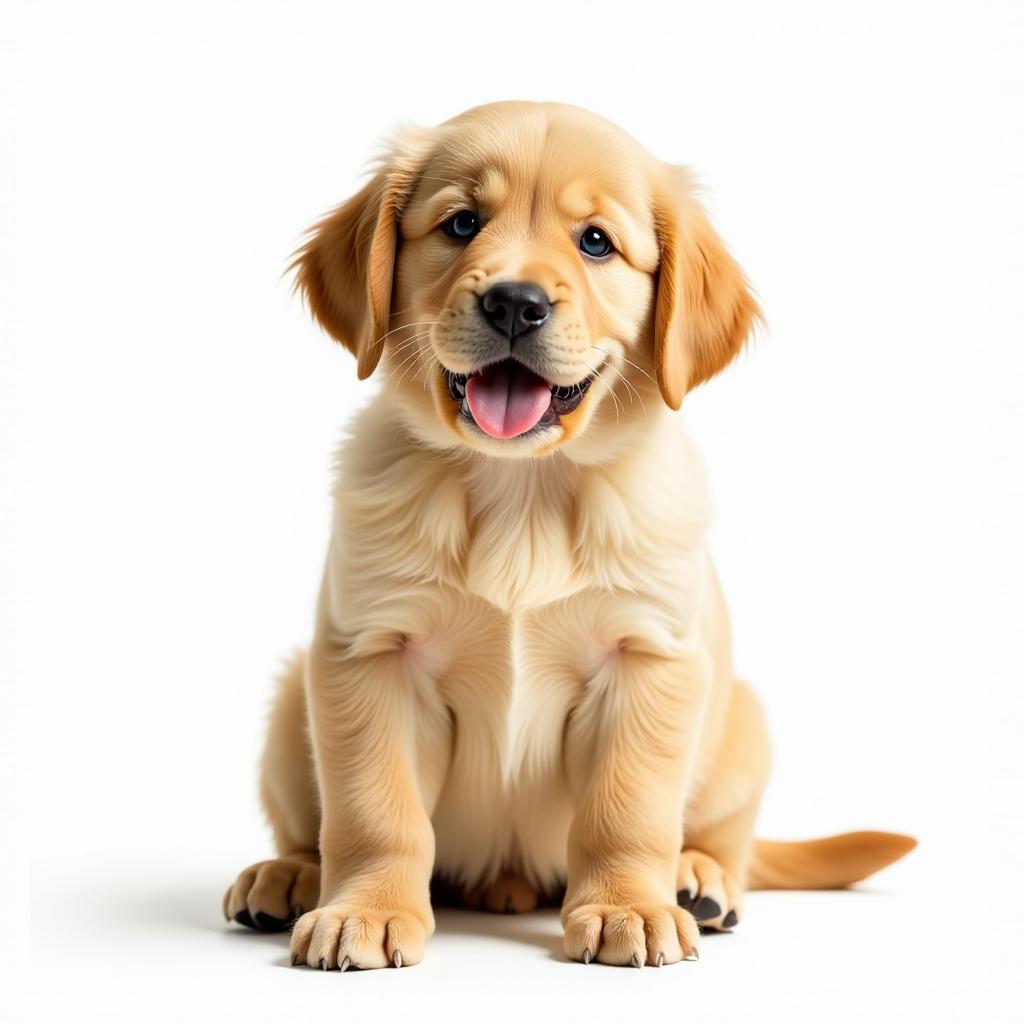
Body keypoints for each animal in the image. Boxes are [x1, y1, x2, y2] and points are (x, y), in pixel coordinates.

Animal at [222, 101, 913, 966]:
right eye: (461, 223)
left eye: (596, 242)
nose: (515, 302)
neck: (523, 487)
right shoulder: (370, 653)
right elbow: (374, 810)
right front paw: (366, 910)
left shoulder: (647, 658)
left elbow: (626, 809)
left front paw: (629, 908)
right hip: (293, 700)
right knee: (309, 827)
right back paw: (289, 875)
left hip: (742, 725)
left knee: (732, 845)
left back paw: (697, 879)